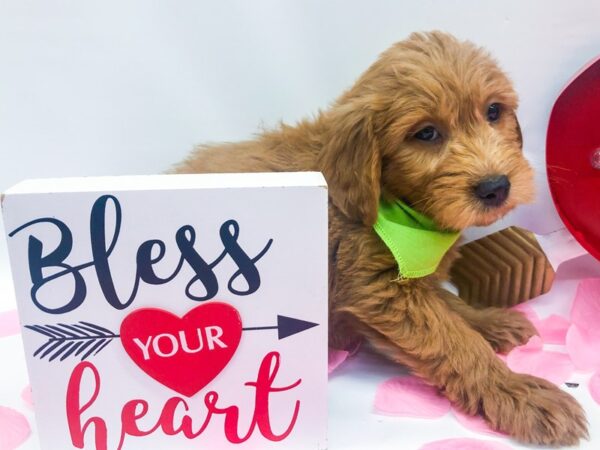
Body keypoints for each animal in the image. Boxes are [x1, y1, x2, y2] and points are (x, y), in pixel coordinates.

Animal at [176, 32, 588, 446]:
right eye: (426, 133)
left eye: (493, 111)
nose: (495, 187)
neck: (394, 206)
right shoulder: (378, 288)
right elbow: (455, 341)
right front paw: (518, 392)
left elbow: (448, 305)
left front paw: (488, 320)